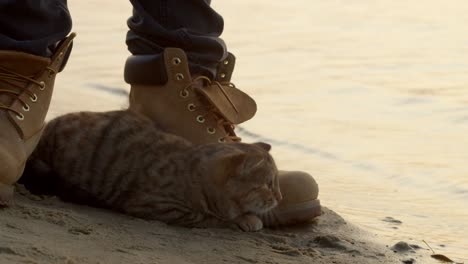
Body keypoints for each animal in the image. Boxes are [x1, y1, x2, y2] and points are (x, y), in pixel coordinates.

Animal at [22, 109, 282, 231]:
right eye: (268, 184)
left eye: (275, 183)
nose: (280, 198)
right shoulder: (159, 206)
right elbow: (211, 217)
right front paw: (243, 219)